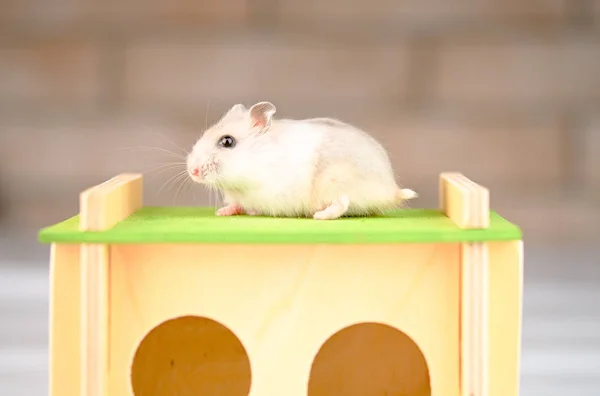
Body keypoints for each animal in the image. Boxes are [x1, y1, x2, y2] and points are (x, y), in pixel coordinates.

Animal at [186, 101, 418, 220]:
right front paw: (222, 212)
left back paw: (320, 215)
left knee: (342, 203)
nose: (192, 171)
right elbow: (237, 204)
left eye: (227, 141)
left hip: (334, 182)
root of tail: (391, 189)